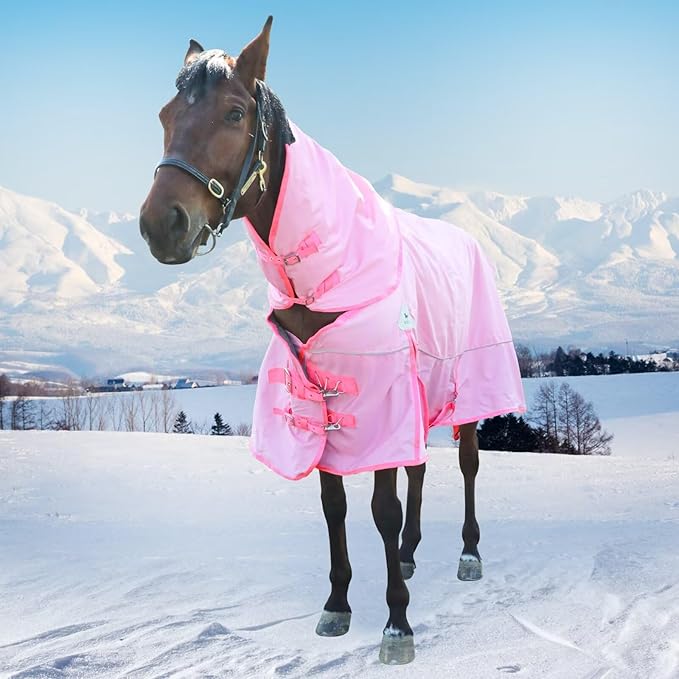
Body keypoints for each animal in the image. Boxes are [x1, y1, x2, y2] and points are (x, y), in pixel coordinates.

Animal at [139, 17, 526, 665]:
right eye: (166, 115)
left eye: (235, 113)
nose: (160, 225)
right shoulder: (321, 395)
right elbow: (335, 507)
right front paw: (338, 605)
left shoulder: (379, 392)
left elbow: (380, 508)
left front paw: (397, 625)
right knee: (418, 468)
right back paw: (410, 555)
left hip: (467, 385)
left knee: (468, 463)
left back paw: (468, 554)